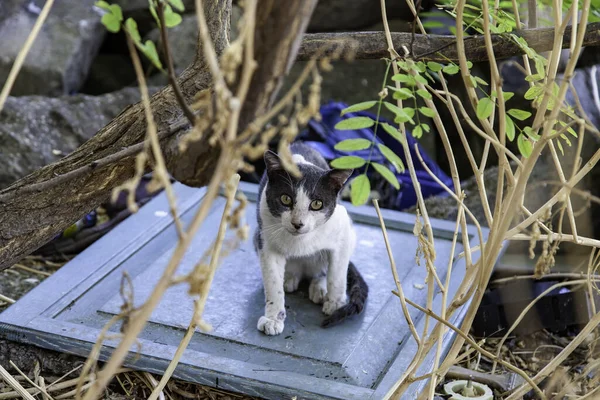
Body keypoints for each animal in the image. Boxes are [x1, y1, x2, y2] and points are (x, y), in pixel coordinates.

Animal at [252, 142, 368, 336]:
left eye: (317, 204)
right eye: (285, 199)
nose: (297, 223)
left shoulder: (343, 229)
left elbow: (337, 274)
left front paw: (335, 304)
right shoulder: (265, 240)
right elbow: (272, 282)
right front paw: (273, 318)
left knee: (324, 268)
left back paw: (320, 287)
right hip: (256, 235)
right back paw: (289, 278)